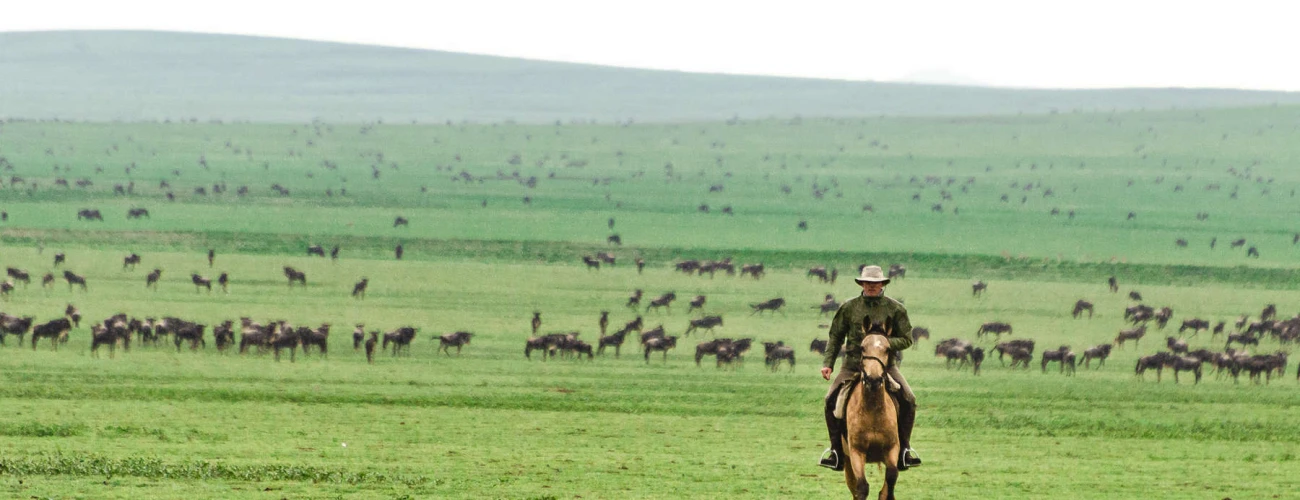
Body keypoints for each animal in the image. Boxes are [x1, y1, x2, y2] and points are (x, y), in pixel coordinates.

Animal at [837, 329, 899, 496]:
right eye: (862, 347)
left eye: (887, 349)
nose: (873, 379)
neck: (873, 411)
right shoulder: (856, 452)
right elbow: (862, 487)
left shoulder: (892, 449)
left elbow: (890, 480)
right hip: (847, 461)